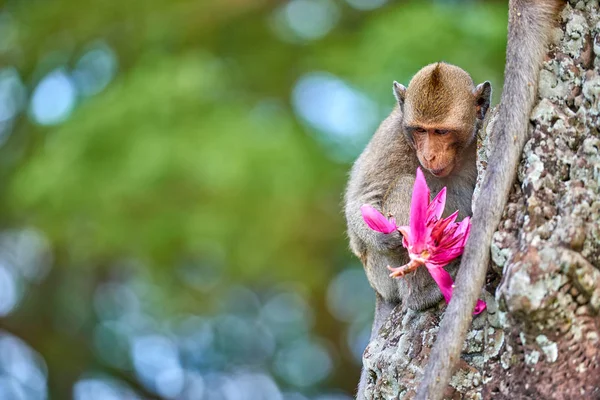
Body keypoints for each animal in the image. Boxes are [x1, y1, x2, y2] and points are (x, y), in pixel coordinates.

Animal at [344, 61, 490, 398]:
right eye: (420, 130)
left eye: (441, 131)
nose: (430, 154)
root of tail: (377, 292)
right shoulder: (393, 137)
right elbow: (361, 199)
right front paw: (383, 237)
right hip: (381, 275)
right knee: (404, 184)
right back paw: (421, 295)